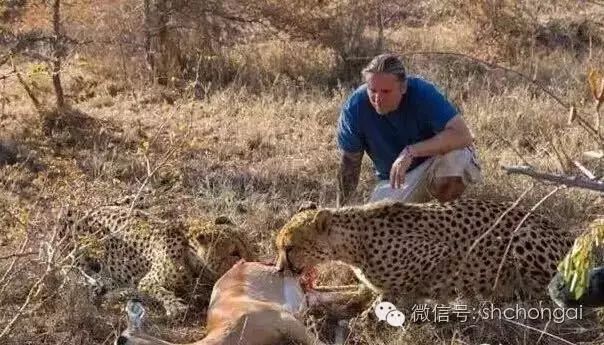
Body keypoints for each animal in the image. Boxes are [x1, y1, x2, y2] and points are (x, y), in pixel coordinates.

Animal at [57, 204, 252, 318]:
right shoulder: (148, 281)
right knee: (71, 272)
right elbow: (160, 291)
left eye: (249, 244)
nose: (252, 261)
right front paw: (175, 306)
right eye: (234, 252)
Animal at [276, 198, 572, 308]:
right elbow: (340, 292)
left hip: (524, 235)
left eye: (290, 248)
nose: (279, 269)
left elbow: (401, 290)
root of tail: (568, 234)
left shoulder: (443, 252)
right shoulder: (361, 284)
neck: (354, 243)